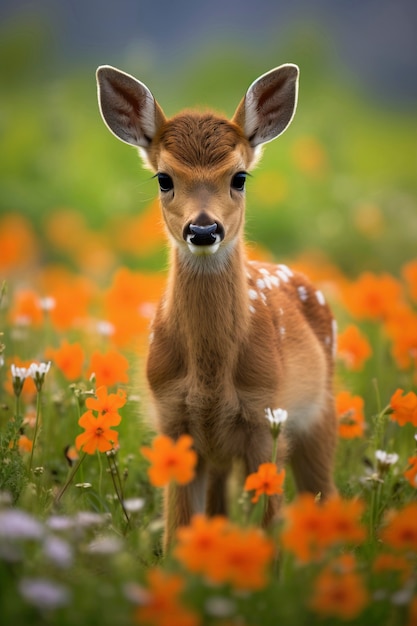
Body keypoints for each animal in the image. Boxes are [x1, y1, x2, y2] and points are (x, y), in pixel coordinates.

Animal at [96, 61, 336, 544]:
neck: (211, 377)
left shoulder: (265, 418)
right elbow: (178, 532)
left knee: (328, 495)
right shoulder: (173, 423)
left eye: (239, 177)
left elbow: (268, 527)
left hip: (320, 414)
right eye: (164, 178)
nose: (204, 230)